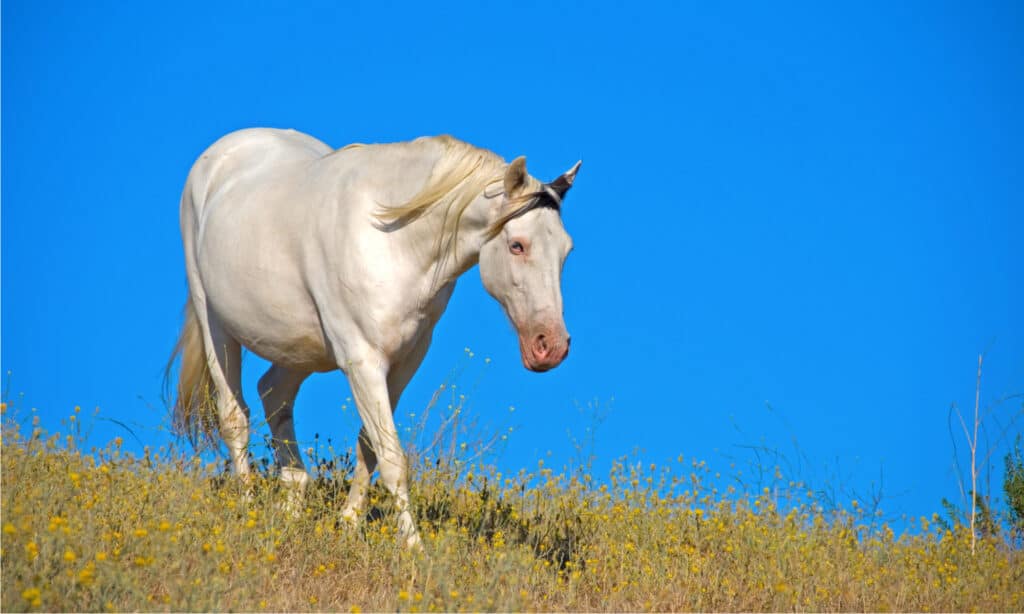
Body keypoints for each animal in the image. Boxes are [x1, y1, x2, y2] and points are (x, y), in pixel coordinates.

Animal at [172, 128, 581, 548]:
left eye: (565, 251)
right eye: (517, 245)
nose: (551, 345)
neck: (396, 242)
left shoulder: (404, 362)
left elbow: (369, 447)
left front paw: (348, 527)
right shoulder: (362, 361)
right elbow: (392, 458)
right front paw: (413, 548)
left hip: (298, 348)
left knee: (274, 393)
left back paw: (291, 505)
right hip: (215, 322)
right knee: (234, 416)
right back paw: (249, 510)